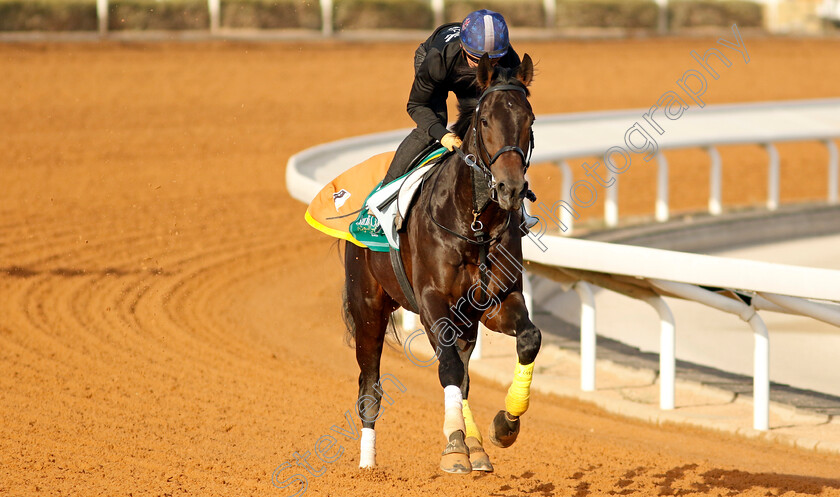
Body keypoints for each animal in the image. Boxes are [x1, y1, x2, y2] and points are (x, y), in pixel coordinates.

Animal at [344, 53, 540, 472]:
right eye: (486, 120)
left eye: (529, 120)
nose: (511, 188)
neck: (475, 225)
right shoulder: (433, 301)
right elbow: (447, 368)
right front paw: (453, 446)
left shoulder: (495, 302)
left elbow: (528, 340)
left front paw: (505, 425)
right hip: (368, 307)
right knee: (370, 385)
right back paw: (368, 464)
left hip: (462, 322)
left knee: (463, 375)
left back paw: (477, 447)